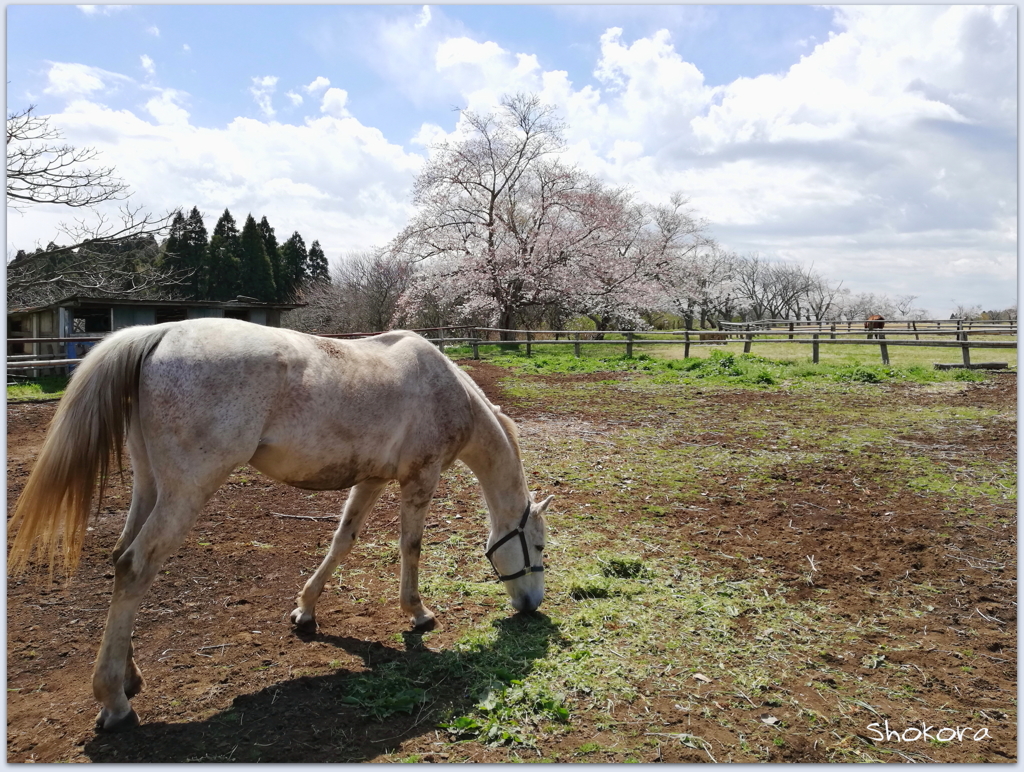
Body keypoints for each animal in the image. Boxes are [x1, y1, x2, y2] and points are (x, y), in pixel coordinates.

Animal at [9, 317, 552, 728]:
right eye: (540, 547)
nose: (532, 605)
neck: (445, 389)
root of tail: (159, 333)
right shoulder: (419, 479)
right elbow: (410, 547)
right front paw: (417, 613)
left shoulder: (371, 480)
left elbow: (342, 541)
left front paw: (306, 611)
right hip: (186, 491)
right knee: (135, 567)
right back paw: (114, 702)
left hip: (150, 485)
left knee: (121, 557)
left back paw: (129, 676)